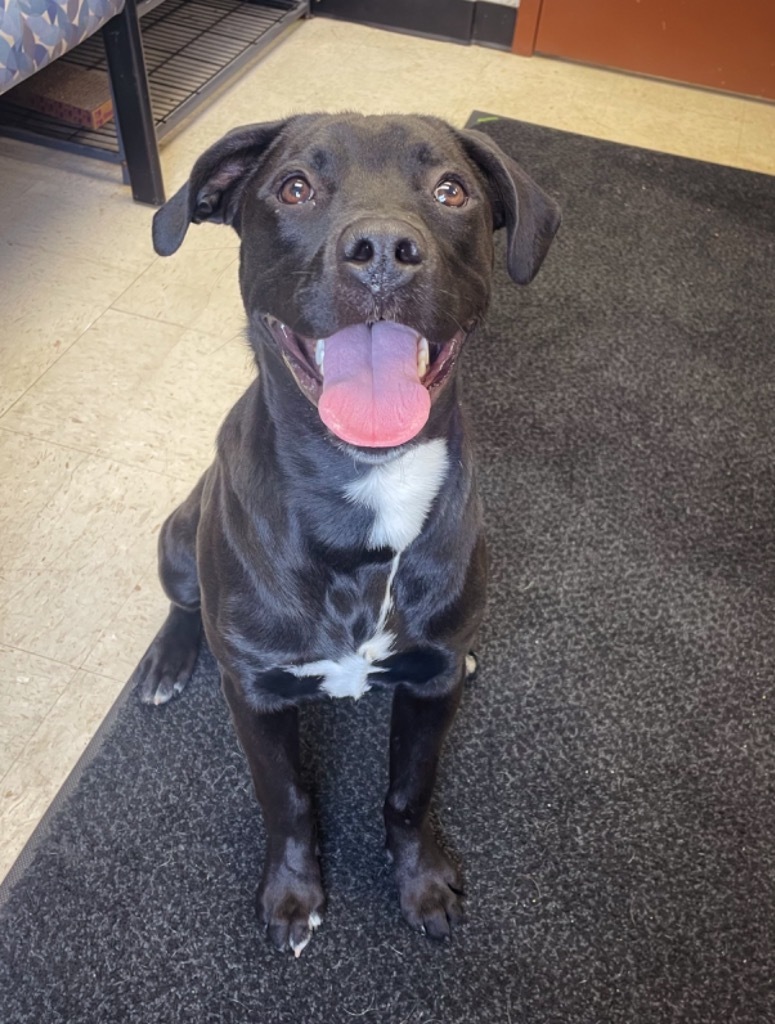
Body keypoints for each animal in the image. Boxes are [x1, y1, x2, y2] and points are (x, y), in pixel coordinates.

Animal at [133, 114, 556, 958]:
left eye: (449, 190)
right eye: (294, 187)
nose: (384, 250)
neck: (367, 493)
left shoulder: (429, 688)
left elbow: (408, 792)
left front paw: (420, 882)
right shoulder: (257, 696)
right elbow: (289, 802)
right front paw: (294, 897)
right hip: (178, 536)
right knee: (184, 602)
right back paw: (166, 658)